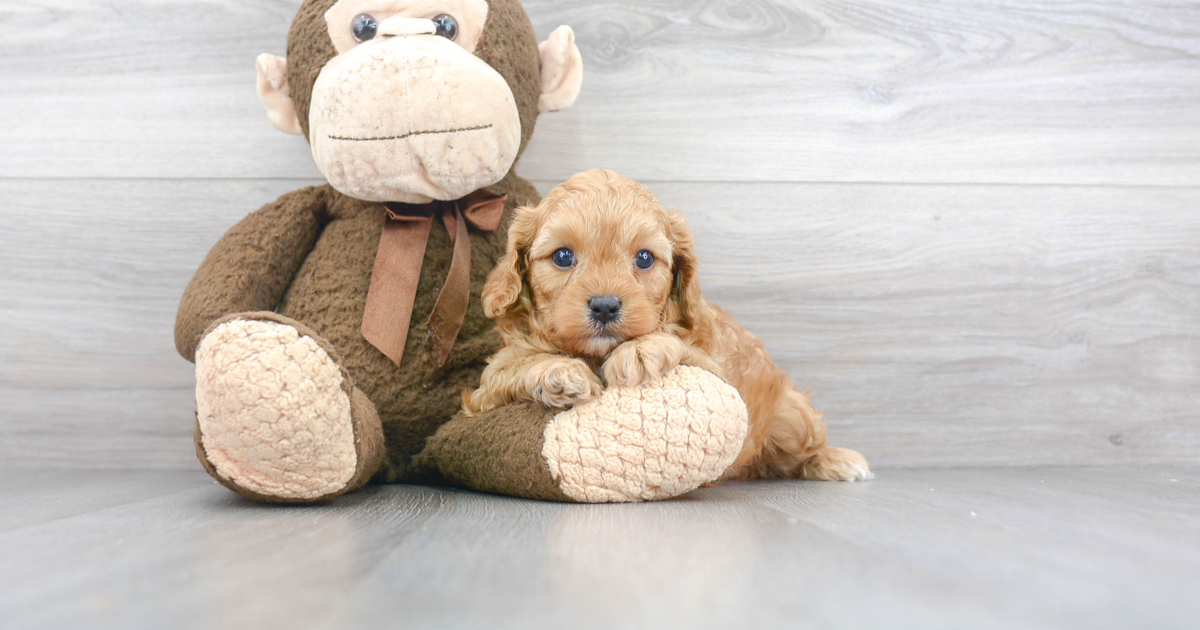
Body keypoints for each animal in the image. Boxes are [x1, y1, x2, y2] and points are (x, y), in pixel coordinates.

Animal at [465, 169, 873, 480]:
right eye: (563, 256)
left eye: (645, 258)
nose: (605, 305)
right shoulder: (484, 393)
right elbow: (511, 368)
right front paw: (558, 372)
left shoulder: (718, 375)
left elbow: (680, 346)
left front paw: (642, 348)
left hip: (792, 416)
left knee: (801, 447)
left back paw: (836, 459)